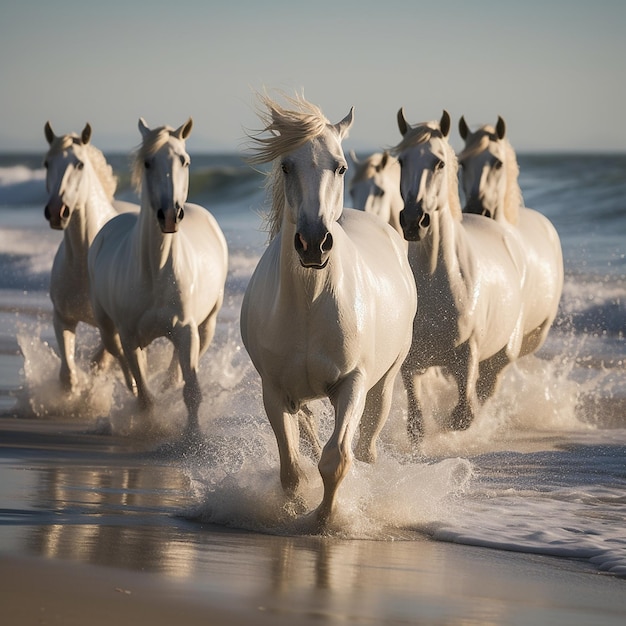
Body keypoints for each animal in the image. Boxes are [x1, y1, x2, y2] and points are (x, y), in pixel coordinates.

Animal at [44, 121, 136, 390]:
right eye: (46, 163)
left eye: (79, 164)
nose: (57, 211)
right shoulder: (62, 319)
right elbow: (68, 375)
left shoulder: (115, 327)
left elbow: (101, 361)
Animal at [86, 117, 225, 434]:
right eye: (148, 162)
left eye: (185, 160)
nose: (170, 215)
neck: (157, 273)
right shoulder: (129, 336)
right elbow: (144, 395)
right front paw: (149, 423)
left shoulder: (186, 330)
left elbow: (191, 390)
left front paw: (193, 437)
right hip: (107, 325)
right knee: (117, 354)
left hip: (206, 325)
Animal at [241, 94, 416, 528]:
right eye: (286, 165)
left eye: (340, 167)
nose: (314, 243)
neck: (311, 303)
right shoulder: (275, 391)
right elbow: (292, 470)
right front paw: (293, 511)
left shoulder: (352, 383)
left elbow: (336, 460)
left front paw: (324, 521)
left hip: (385, 382)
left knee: (367, 444)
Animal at [392, 109, 524, 442]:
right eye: (401, 162)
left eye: (439, 162)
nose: (413, 221)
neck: (435, 282)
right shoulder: (412, 365)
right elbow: (417, 424)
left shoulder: (466, 358)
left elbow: (462, 416)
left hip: (500, 357)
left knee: (486, 391)